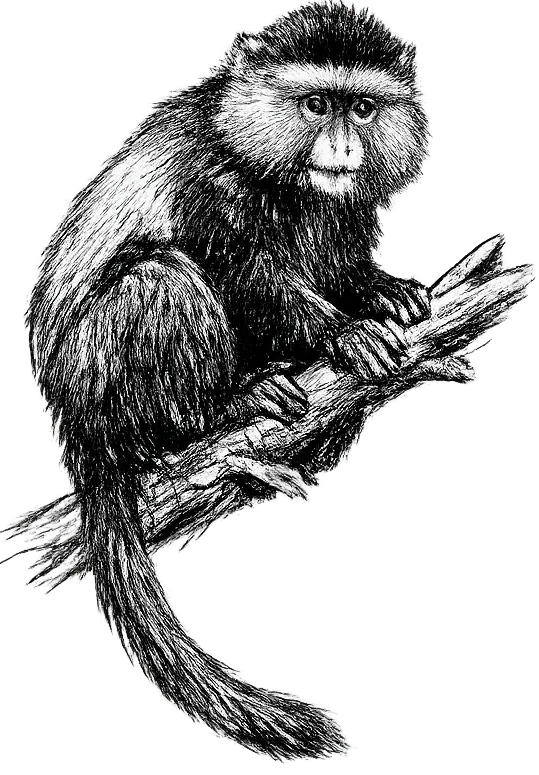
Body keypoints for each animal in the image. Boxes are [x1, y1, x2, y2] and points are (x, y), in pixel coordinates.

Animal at [28, 2, 430, 760]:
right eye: (316, 105)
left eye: (362, 108)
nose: (342, 146)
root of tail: (78, 426)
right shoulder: (212, 185)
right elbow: (249, 280)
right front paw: (344, 332)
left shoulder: (340, 210)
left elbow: (334, 265)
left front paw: (378, 293)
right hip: (101, 370)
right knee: (161, 279)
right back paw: (220, 408)